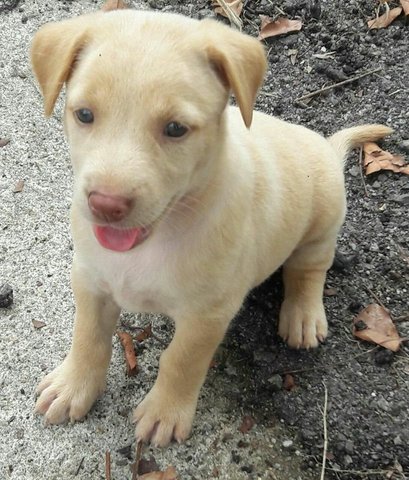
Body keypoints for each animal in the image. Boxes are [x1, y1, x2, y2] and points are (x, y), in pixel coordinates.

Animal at [31, 9, 388, 446]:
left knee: (309, 269)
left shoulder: (208, 314)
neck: (159, 236)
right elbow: (88, 339)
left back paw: (302, 315)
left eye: (175, 129)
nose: (105, 205)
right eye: (84, 114)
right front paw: (73, 386)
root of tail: (326, 147)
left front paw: (165, 411)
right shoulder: (90, 280)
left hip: (323, 219)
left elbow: (181, 361)